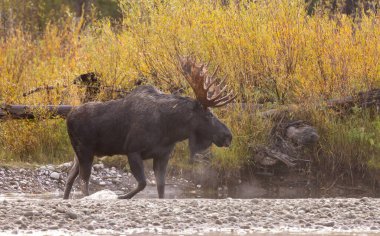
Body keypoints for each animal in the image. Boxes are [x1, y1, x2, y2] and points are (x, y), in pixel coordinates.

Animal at [63, 57, 236, 199]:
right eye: (209, 115)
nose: (228, 136)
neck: (170, 130)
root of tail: (68, 115)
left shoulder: (163, 155)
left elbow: (161, 188)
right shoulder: (132, 150)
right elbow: (143, 183)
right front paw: (121, 197)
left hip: (80, 154)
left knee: (70, 178)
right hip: (84, 151)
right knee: (83, 181)